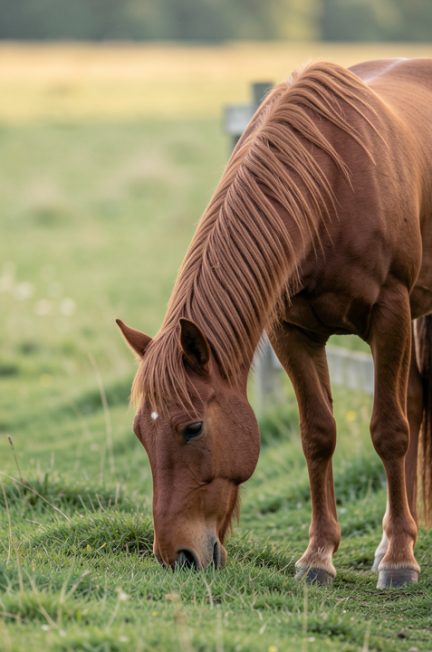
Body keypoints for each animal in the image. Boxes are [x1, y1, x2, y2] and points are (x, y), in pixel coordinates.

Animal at [117, 58, 432, 589]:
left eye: (193, 429)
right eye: (141, 432)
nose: (176, 556)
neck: (331, 184)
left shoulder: (388, 313)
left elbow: (390, 430)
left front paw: (399, 563)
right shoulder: (292, 332)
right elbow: (317, 435)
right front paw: (318, 557)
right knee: (413, 396)